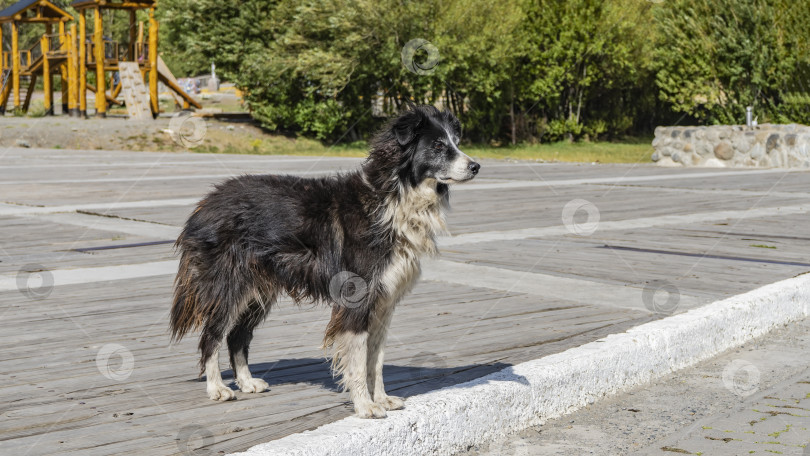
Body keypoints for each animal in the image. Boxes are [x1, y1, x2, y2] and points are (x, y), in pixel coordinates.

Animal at [167, 105, 476, 418]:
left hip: (258, 290)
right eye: (437, 146)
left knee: (237, 336)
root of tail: (206, 203)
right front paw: (365, 405)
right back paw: (217, 388)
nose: (476, 166)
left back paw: (246, 382)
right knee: (213, 335)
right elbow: (358, 357)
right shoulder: (357, 295)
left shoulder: (384, 300)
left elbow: (376, 357)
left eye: (456, 142)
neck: (394, 195)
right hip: (228, 285)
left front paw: (382, 398)